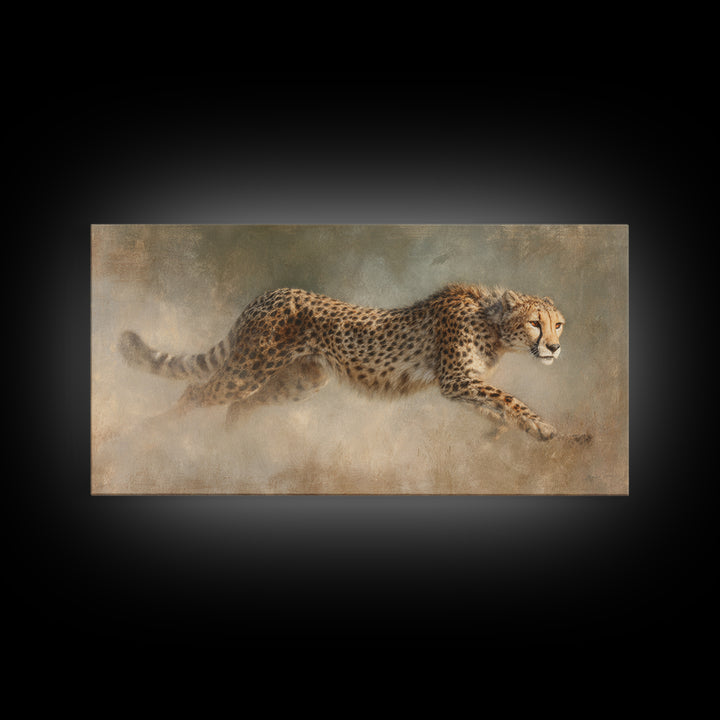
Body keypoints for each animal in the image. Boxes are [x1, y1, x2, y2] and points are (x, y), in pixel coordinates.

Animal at [118, 284, 592, 443]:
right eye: (535, 323)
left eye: (559, 324)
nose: (554, 348)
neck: (492, 322)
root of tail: (269, 293)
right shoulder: (456, 380)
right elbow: (509, 399)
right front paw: (544, 427)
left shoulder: (463, 386)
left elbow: (498, 407)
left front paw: (541, 434)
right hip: (249, 368)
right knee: (196, 392)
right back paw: (146, 434)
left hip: (302, 381)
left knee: (240, 405)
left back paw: (228, 447)